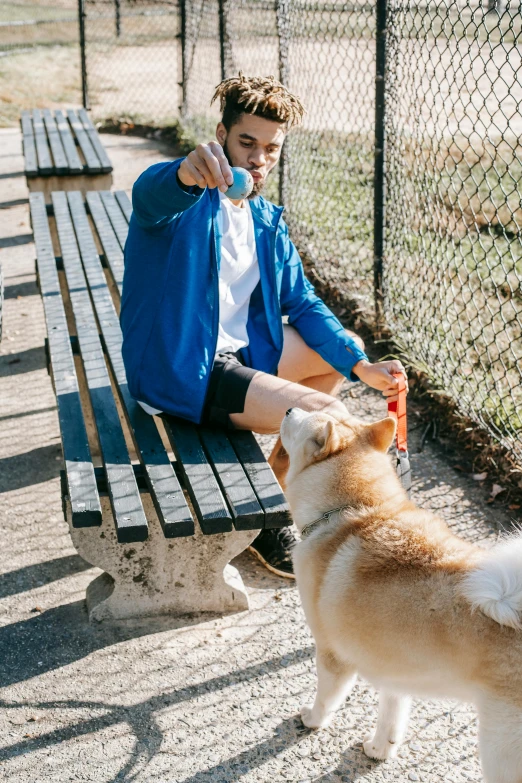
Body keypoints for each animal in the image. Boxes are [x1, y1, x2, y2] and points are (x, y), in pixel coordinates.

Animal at [280, 408, 520, 780]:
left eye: (306, 419)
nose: (290, 409)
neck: (357, 508)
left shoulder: (333, 657)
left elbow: (326, 700)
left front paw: (313, 720)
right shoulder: (397, 669)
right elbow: (392, 716)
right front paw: (380, 749)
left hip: (499, 751)